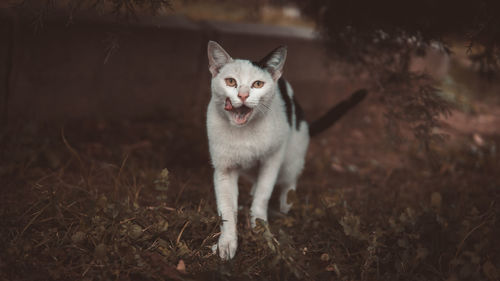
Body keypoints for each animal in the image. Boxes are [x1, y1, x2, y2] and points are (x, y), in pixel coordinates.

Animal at [205, 40, 366, 260]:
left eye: (257, 84)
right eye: (230, 82)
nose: (243, 95)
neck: (244, 132)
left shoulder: (273, 159)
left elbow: (263, 196)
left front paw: (262, 232)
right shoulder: (224, 169)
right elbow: (227, 209)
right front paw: (227, 242)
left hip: (291, 158)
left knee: (289, 181)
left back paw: (285, 204)